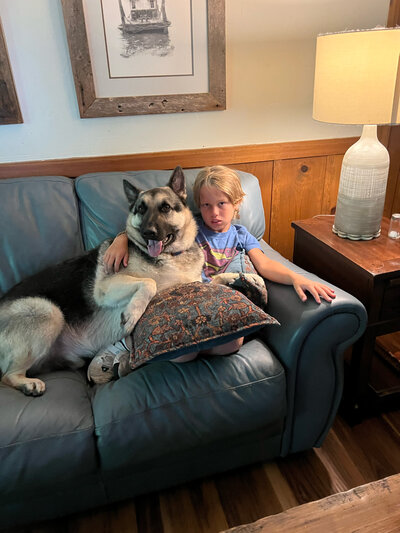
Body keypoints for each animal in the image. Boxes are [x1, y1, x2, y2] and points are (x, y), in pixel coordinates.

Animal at [0, 166, 205, 394]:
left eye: (166, 207)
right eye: (141, 210)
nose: (147, 232)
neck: (170, 256)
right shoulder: (105, 289)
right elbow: (148, 282)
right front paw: (132, 314)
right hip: (49, 312)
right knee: (6, 377)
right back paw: (28, 384)